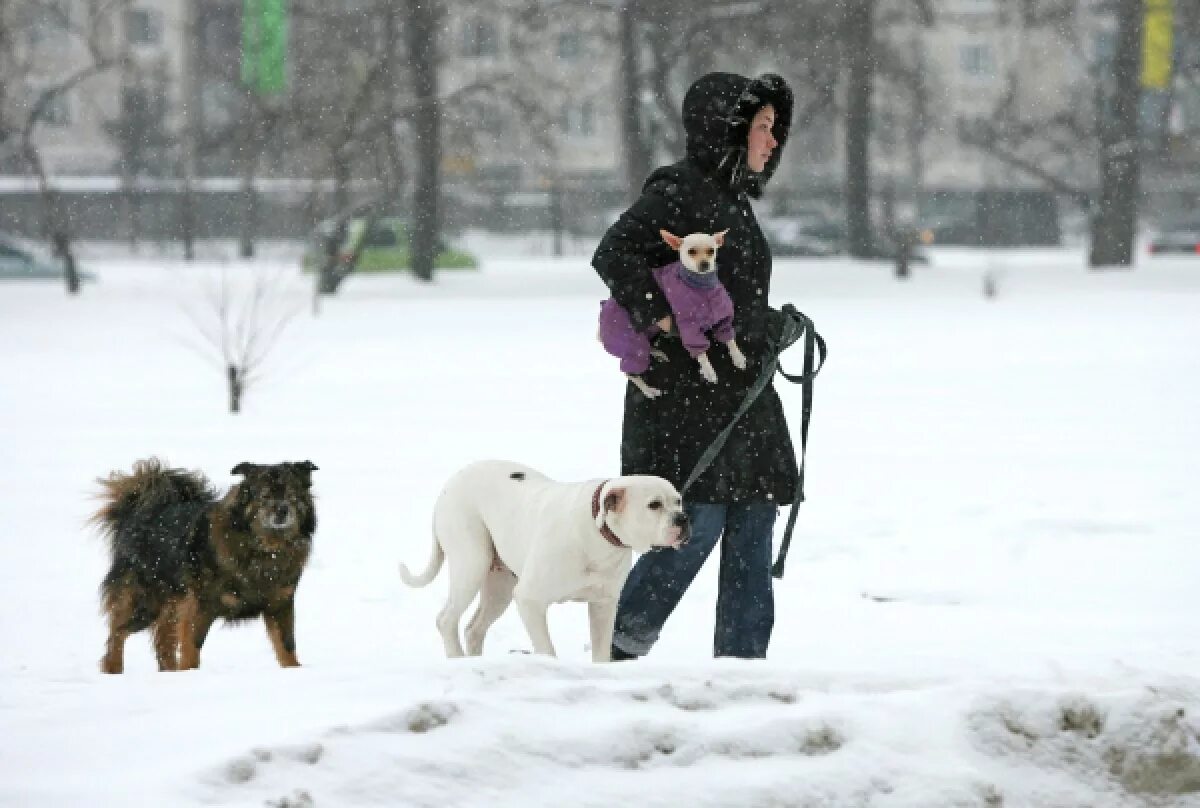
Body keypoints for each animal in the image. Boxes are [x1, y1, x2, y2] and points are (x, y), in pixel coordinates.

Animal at [91, 456, 319, 672]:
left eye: (292, 495)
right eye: (265, 496)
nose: (282, 510)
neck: (263, 549)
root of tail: (140, 509)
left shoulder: (280, 604)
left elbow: (287, 645)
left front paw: (294, 671)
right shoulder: (200, 605)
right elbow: (191, 647)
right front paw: (189, 673)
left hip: (171, 603)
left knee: (162, 640)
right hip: (145, 603)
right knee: (117, 634)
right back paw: (114, 668)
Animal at [400, 461, 691, 662]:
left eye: (678, 501)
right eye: (654, 505)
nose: (683, 519)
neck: (597, 534)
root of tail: (451, 482)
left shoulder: (603, 605)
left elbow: (600, 652)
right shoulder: (530, 600)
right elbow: (547, 650)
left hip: (499, 587)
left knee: (473, 629)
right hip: (472, 563)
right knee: (446, 619)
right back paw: (457, 660)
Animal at [597, 228, 744, 398]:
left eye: (711, 251)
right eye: (691, 251)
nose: (705, 264)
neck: (702, 288)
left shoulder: (723, 318)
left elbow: (730, 339)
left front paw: (738, 357)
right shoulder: (689, 328)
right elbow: (701, 353)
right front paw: (708, 371)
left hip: (646, 335)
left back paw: (657, 353)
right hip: (633, 345)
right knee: (630, 372)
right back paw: (648, 390)